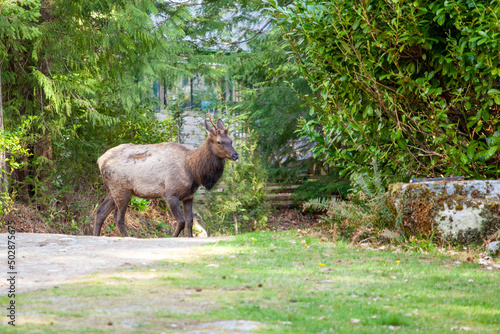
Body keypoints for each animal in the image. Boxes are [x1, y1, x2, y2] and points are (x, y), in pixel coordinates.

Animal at [95, 117, 240, 237]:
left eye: (231, 141)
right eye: (219, 142)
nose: (235, 155)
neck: (193, 171)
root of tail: (100, 160)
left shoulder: (188, 196)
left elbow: (190, 221)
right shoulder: (170, 193)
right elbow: (181, 221)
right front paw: (173, 237)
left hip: (112, 190)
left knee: (100, 211)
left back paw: (96, 235)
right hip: (121, 189)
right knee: (118, 217)